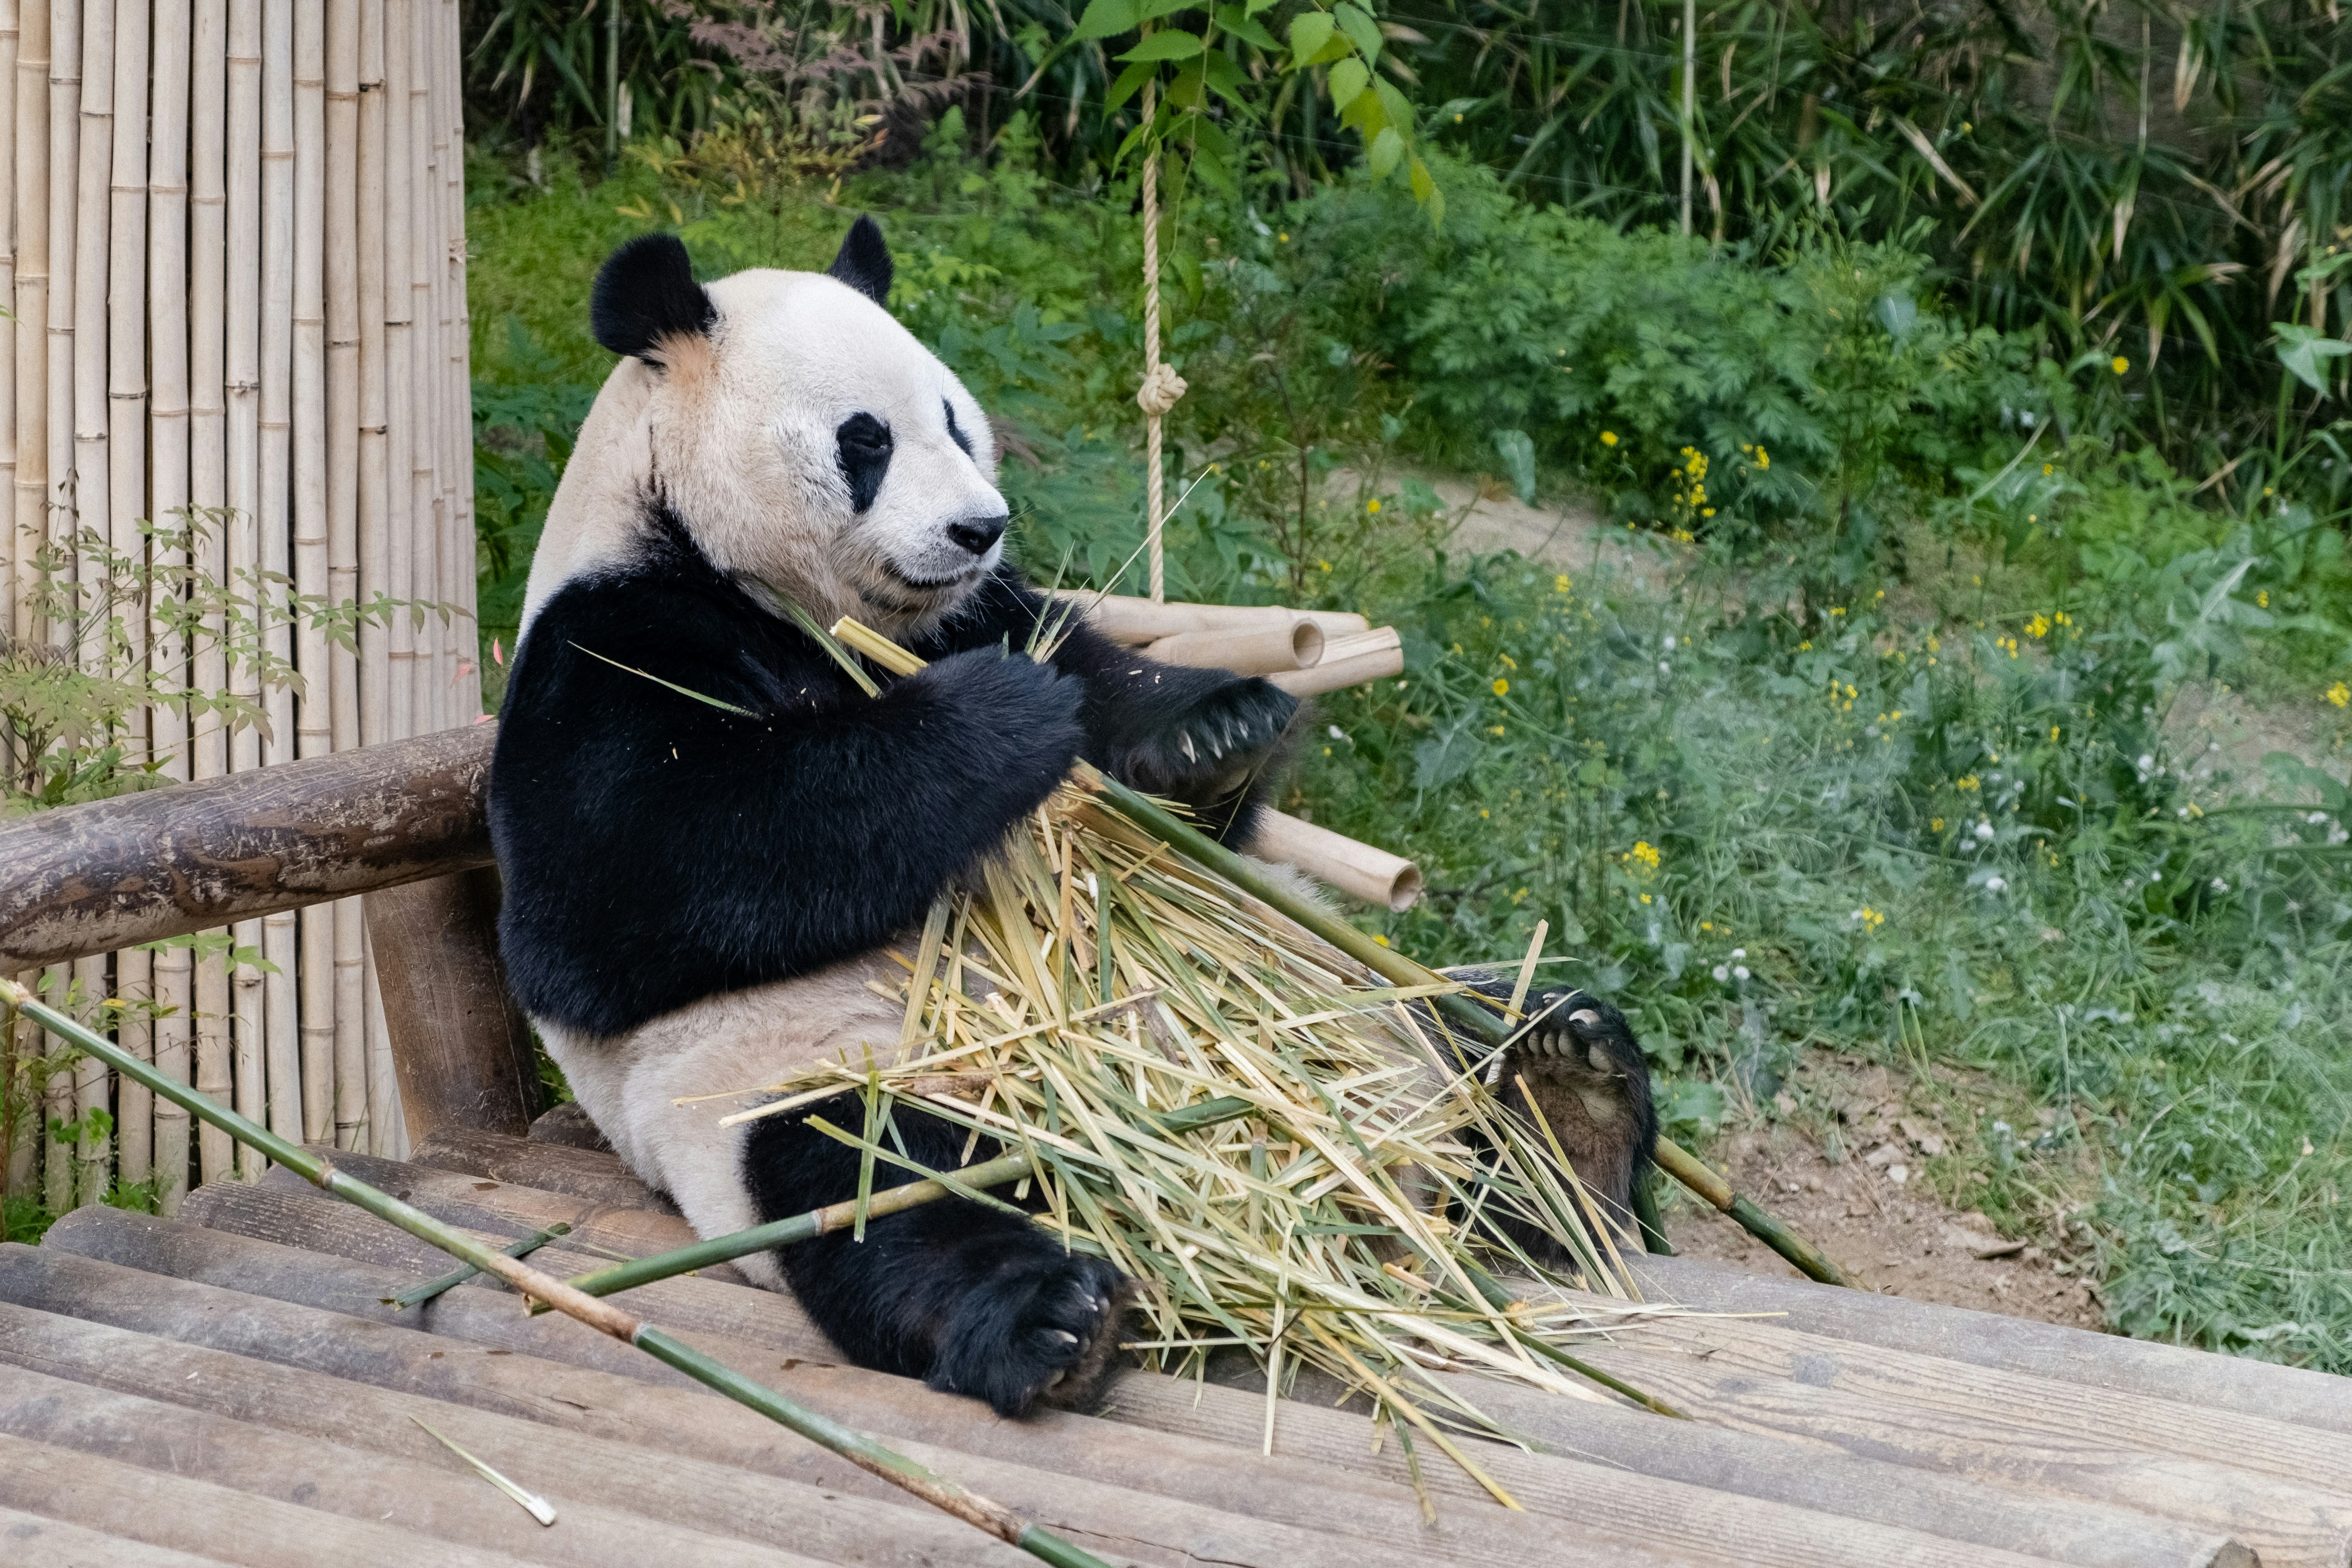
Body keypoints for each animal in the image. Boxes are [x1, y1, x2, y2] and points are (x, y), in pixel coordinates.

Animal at [490, 218, 1656, 1421]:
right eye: (866, 440)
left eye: (956, 420)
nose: (979, 526)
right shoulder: (612, 642)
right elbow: (624, 891)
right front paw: (1001, 716)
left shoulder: (993, 605)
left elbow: (1110, 689)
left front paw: (1215, 731)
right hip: (836, 1077)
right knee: (883, 1185)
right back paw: (1052, 1317)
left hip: (1352, 993)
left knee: (1467, 1030)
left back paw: (1569, 1101)